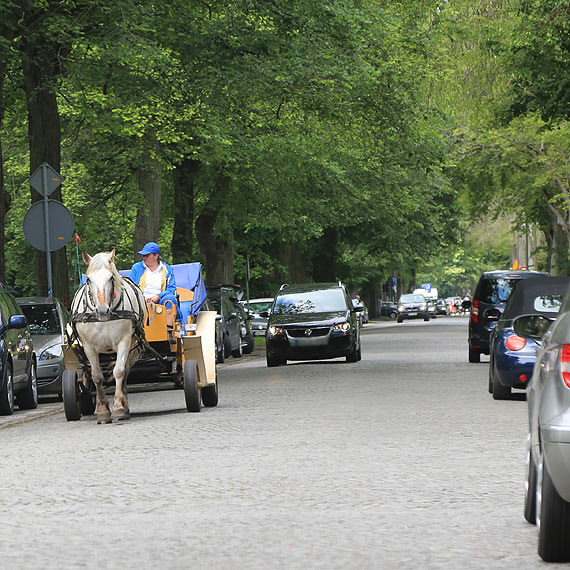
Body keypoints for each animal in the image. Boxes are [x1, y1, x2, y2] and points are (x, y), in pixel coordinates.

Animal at [70, 248, 145, 422]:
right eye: (88, 279)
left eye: (111, 277)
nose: (102, 310)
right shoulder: (89, 347)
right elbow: (97, 376)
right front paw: (103, 410)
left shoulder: (124, 341)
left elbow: (119, 372)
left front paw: (118, 407)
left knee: (125, 371)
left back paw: (124, 406)